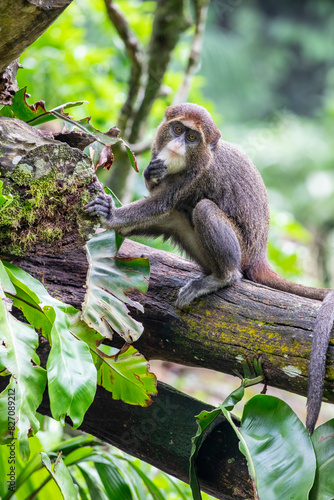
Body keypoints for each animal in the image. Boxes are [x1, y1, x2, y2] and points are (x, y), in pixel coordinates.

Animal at [86, 102, 334, 434]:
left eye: (192, 137)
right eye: (178, 129)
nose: (177, 145)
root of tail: (258, 256)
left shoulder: (196, 175)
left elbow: (160, 203)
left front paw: (111, 216)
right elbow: (160, 196)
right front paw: (150, 175)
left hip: (239, 252)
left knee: (202, 210)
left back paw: (221, 276)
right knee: (179, 213)